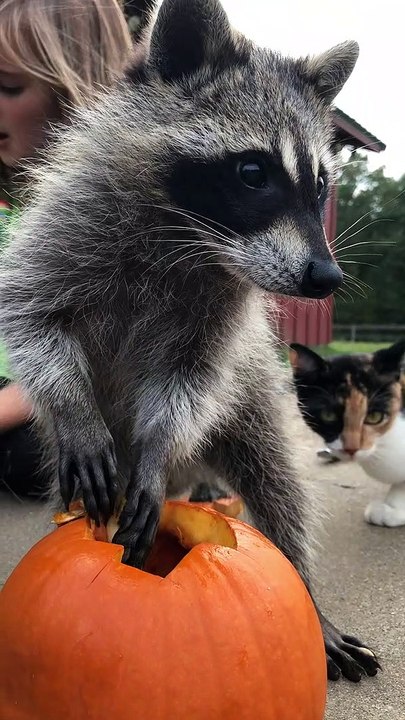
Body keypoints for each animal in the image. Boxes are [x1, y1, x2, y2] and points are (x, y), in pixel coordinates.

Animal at [0, 0, 380, 682]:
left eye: (320, 185)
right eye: (253, 172)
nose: (327, 277)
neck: (188, 236)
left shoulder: (221, 312)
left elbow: (192, 377)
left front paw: (157, 445)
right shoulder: (69, 227)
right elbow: (30, 315)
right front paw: (73, 405)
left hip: (256, 397)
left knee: (276, 479)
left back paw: (303, 583)